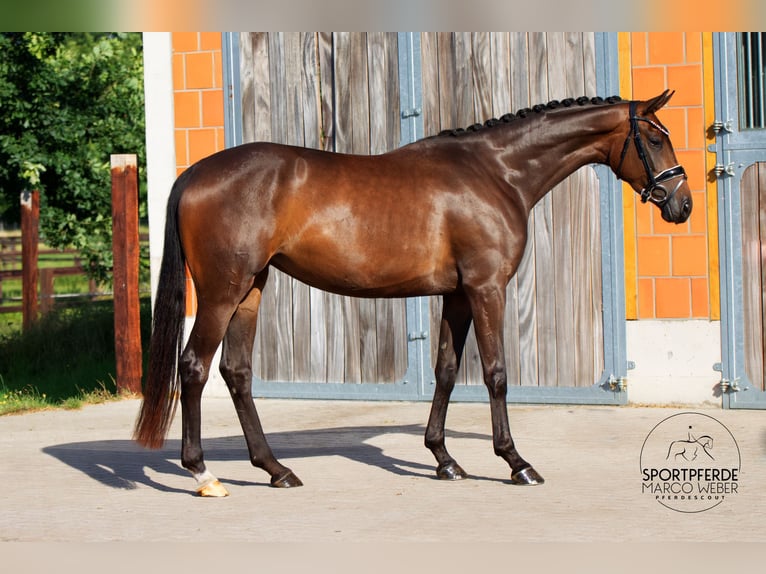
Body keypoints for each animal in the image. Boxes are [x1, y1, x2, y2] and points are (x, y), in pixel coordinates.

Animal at [134, 90, 692, 497]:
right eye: (655, 138)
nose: (681, 204)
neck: (497, 172)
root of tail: (195, 173)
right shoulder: (487, 289)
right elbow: (496, 374)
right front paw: (516, 462)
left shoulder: (457, 296)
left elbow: (446, 371)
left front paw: (444, 459)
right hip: (221, 293)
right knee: (195, 368)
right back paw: (203, 474)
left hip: (250, 289)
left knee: (237, 372)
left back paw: (276, 469)